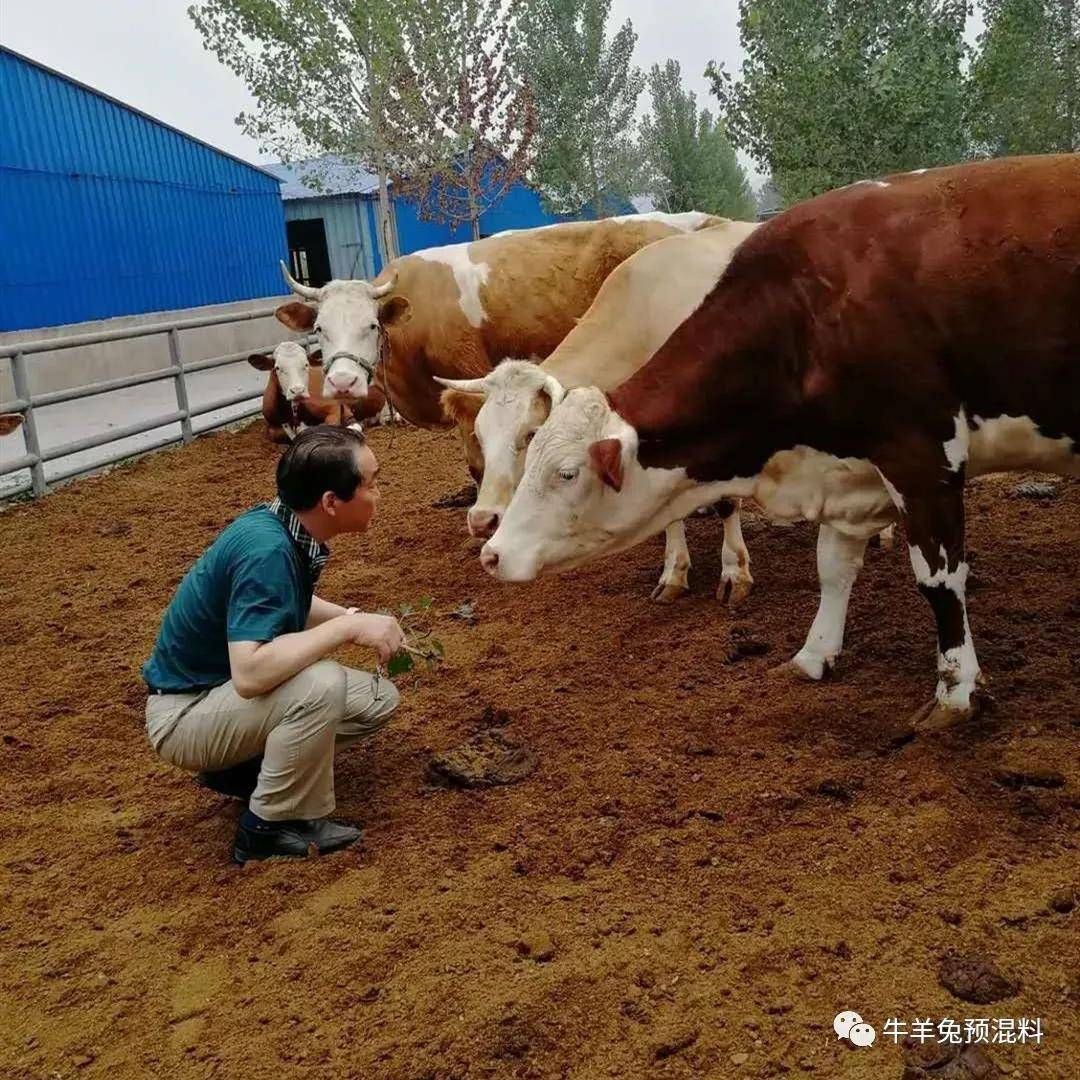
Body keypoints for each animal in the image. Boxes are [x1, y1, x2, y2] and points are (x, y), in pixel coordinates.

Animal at [436, 222, 760, 604]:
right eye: (480, 434)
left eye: (531, 433)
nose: (482, 519)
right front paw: (674, 573)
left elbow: (729, 504)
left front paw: (734, 572)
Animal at [483, 156, 1080, 730]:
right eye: (488, 439)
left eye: (564, 471)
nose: (490, 548)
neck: (809, 313)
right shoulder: (847, 471)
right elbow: (831, 567)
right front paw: (812, 654)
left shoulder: (922, 458)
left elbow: (939, 582)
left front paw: (955, 692)